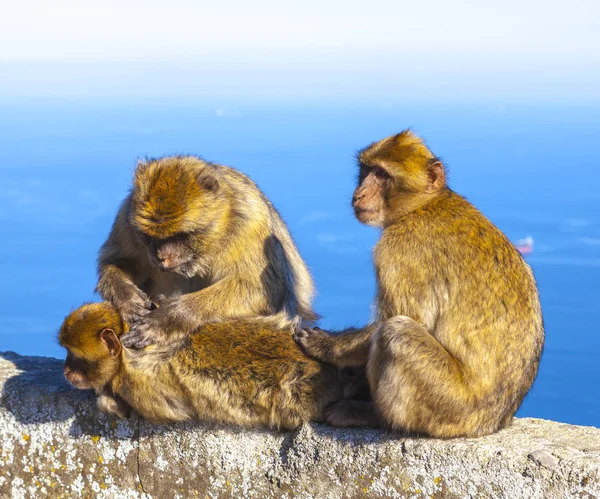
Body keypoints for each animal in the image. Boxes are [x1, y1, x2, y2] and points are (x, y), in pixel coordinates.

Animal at [59, 302, 346, 432]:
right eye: (67, 353)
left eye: (76, 357)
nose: (66, 371)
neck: (125, 356)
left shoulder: (140, 387)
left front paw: (107, 399)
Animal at [96, 158, 316, 350]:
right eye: (150, 237)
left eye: (181, 235)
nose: (162, 257)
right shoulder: (126, 220)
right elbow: (118, 260)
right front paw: (125, 295)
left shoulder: (251, 224)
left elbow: (258, 289)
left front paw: (170, 317)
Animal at [292, 131, 548, 440]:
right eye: (365, 171)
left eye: (382, 174)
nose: (358, 194)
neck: (423, 205)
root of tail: (489, 424)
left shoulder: (397, 249)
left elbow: (403, 317)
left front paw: (327, 346)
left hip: (448, 404)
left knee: (397, 332)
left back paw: (374, 417)